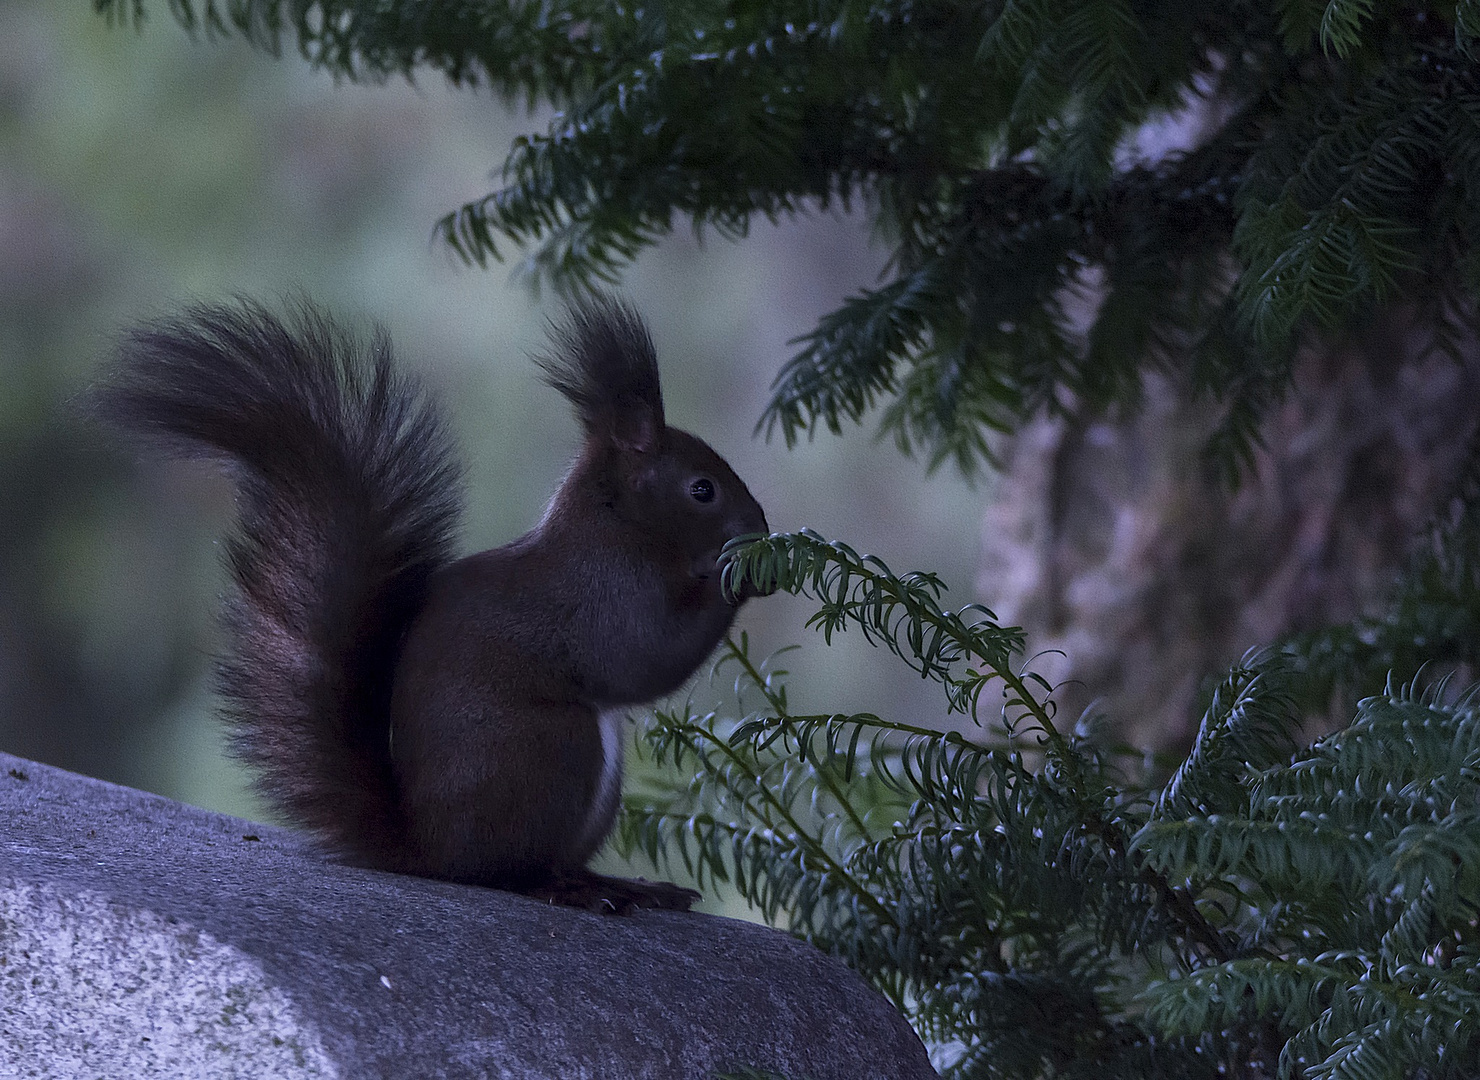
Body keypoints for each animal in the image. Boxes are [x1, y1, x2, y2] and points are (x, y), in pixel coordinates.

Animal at [101, 294, 775, 911]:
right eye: (703, 490)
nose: (761, 526)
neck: (616, 522)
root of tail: (432, 849)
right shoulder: (605, 591)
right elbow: (647, 656)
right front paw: (739, 577)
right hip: (549, 749)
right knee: (511, 873)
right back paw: (570, 889)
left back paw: (626, 885)